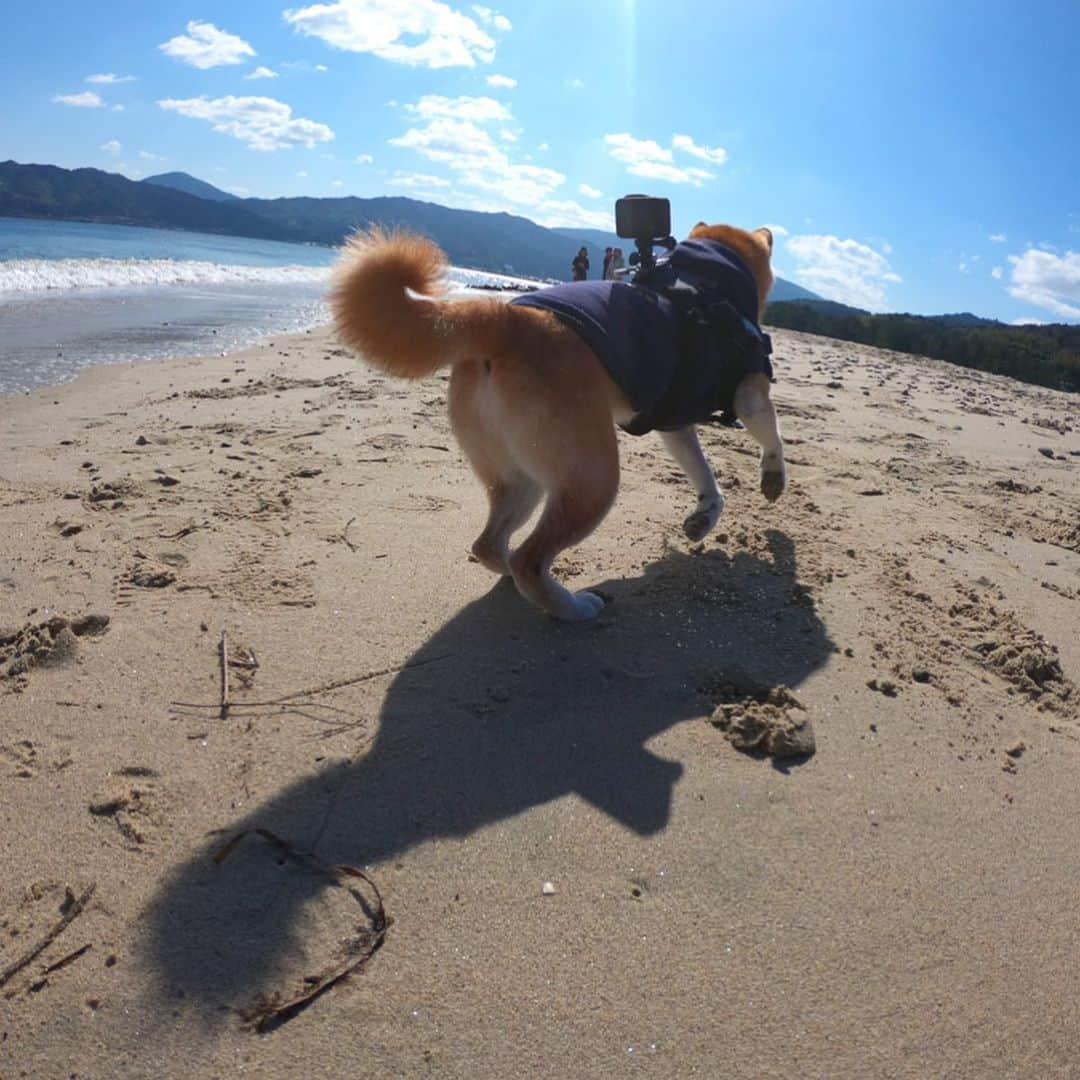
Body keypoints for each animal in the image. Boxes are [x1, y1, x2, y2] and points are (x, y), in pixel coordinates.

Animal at [328, 223, 786, 622]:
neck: (707, 271)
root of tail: (506, 322)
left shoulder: (671, 423)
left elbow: (703, 473)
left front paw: (704, 516)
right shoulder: (750, 393)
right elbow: (772, 435)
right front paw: (773, 478)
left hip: (519, 478)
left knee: (491, 546)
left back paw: (515, 581)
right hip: (593, 480)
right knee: (529, 559)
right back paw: (574, 608)